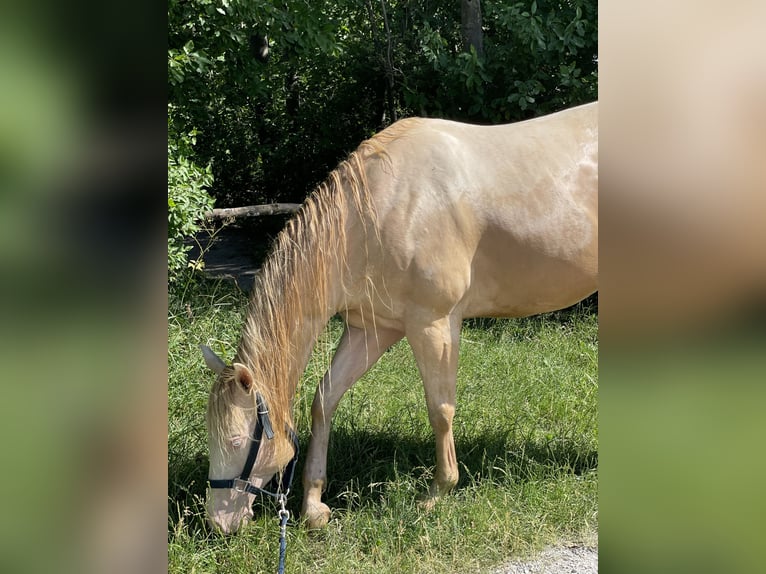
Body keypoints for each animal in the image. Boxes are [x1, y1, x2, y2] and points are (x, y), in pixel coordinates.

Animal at [201, 102, 596, 536]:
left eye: (237, 442)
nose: (217, 523)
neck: (379, 211)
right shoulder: (371, 329)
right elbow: (325, 399)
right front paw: (315, 506)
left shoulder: (432, 324)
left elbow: (440, 410)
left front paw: (437, 494)